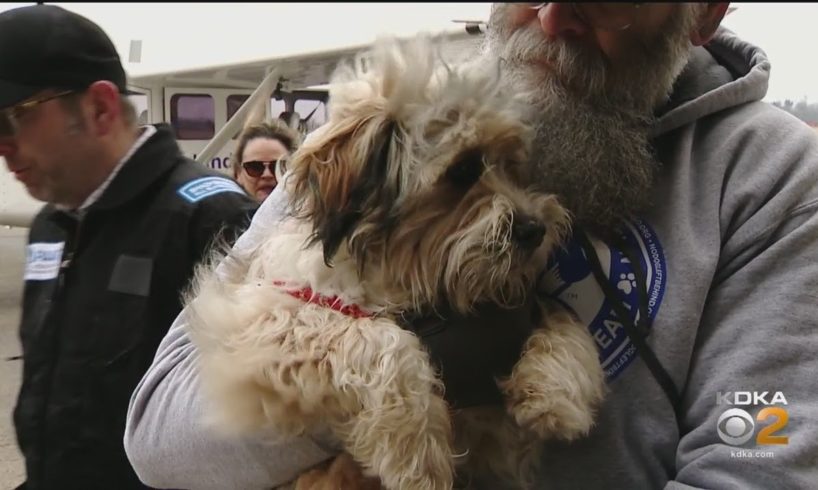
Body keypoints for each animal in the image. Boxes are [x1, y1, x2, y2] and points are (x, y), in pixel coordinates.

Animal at [186, 35, 604, 490]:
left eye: (513, 166)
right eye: (462, 171)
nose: (535, 229)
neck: (397, 272)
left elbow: (559, 317)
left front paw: (555, 390)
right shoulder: (255, 325)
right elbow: (375, 336)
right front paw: (416, 450)